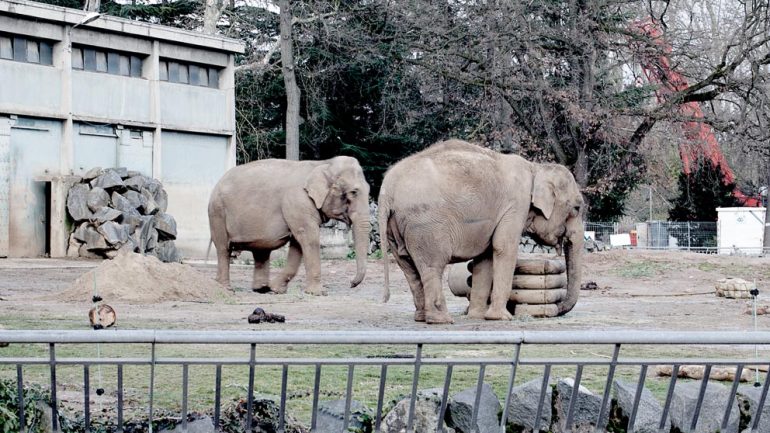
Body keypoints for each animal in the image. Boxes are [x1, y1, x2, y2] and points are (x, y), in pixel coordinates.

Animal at [207, 157, 368, 296]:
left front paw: (276, 289)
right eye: (353, 192)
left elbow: (298, 245)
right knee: (223, 249)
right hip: (217, 212)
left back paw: (261, 289)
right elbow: (310, 239)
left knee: (261, 251)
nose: (351, 283)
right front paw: (319, 293)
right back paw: (226, 289)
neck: (323, 163)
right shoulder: (298, 202)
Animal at [378, 138, 584, 320]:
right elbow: (504, 248)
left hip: (396, 227)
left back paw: (422, 318)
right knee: (432, 266)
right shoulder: (516, 204)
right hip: (425, 224)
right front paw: (502, 318)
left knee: (408, 266)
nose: (557, 310)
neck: (536, 168)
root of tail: (387, 190)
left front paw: (477, 316)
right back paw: (441, 319)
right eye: (577, 208)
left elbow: (485, 257)